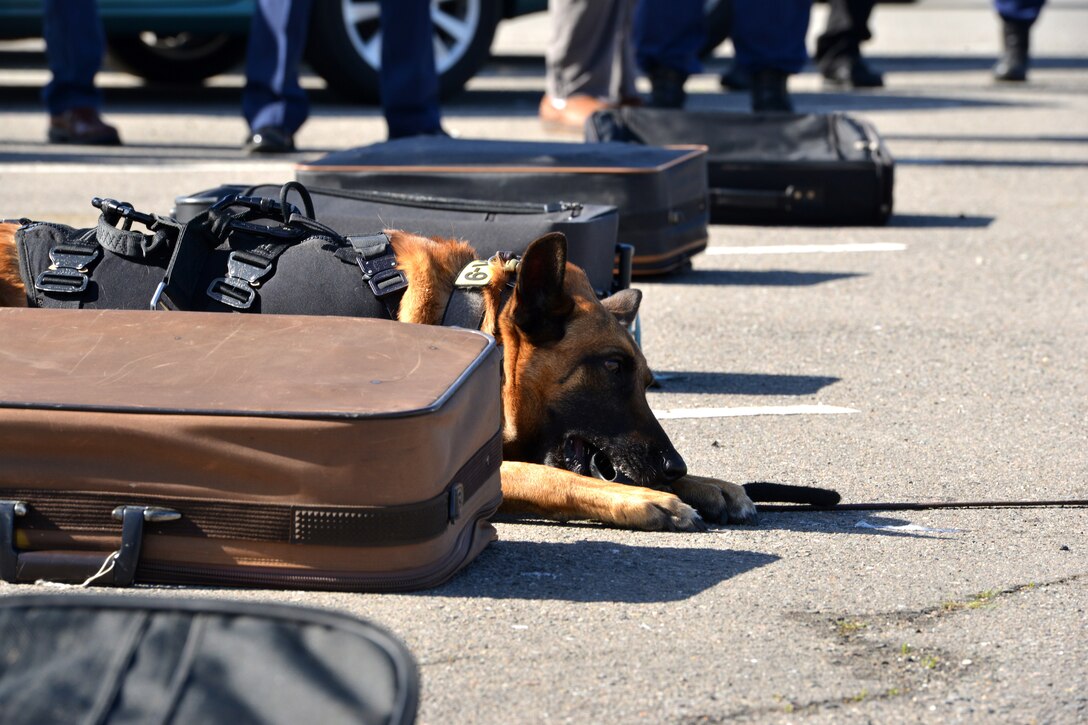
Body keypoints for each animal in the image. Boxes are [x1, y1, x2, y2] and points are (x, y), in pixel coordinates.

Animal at [0, 217, 835, 529]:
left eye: (640, 371)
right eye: (609, 366)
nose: (671, 464)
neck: (462, 317)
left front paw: (706, 483)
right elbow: (554, 473)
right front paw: (648, 498)